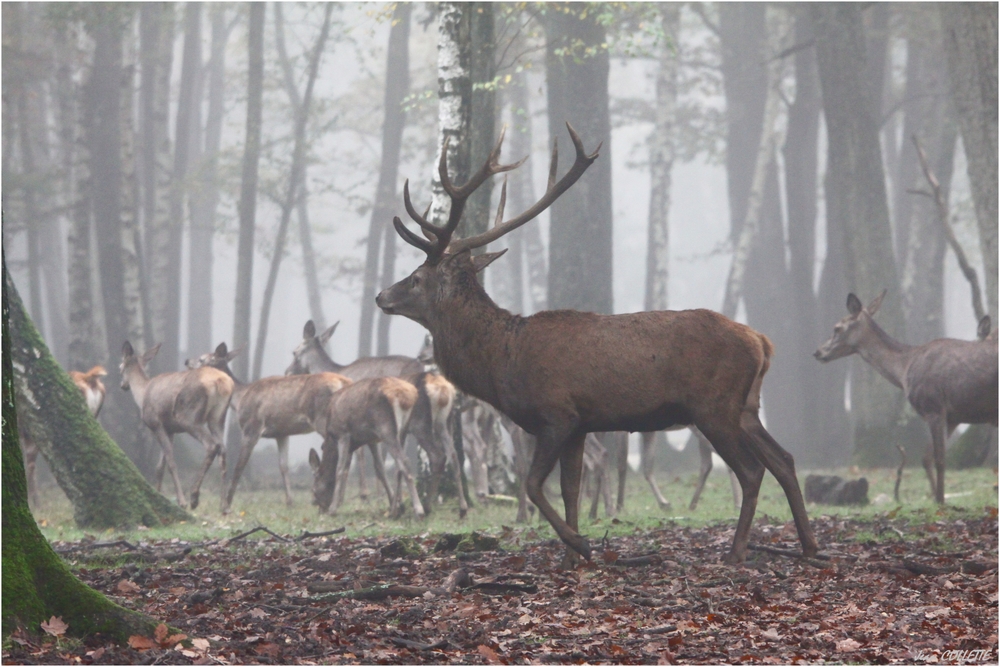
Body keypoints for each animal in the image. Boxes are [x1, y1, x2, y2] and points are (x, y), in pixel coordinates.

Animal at [120, 342, 233, 508]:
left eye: (120, 367)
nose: (123, 385)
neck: (142, 393)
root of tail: (222, 382)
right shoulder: (170, 429)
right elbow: (159, 466)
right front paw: (158, 494)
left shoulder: (156, 423)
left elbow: (171, 462)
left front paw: (181, 501)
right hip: (218, 417)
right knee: (223, 450)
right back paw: (224, 506)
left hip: (188, 416)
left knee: (212, 445)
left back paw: (194, 496)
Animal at [376, 122, 820, 568]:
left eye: (416, 277)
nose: (381, 296)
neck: (502, 361)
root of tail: (761, 342)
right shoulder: (580, 424)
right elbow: (570, 488)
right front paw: (572, 556)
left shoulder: (557, 413)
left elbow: (534, 485)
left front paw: (581, 544)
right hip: (746, 406)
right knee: (784, 460)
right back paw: (811, 547)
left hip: (714, 407)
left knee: (752, 471)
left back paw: (737, 551)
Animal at [816, 292, 996, 500]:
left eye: (837, 327)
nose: (817, 352)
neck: (904, 369)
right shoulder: (952, 417)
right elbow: (926, 458)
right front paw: (935, 498)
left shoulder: (933, 406)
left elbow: (939, 459)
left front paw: (941, 500)